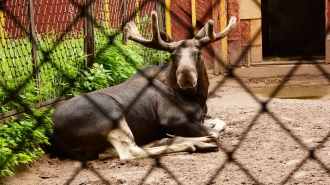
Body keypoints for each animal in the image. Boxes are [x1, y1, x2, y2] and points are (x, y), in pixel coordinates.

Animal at [49, 10, 237, 160]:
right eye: (173, 56)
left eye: (197, 53)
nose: (186, 78)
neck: (199, 98)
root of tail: (51, 136)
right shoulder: (173, 120)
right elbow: (215, 131)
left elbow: (221, 122)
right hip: (111, 114)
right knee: (129, 152)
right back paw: (192, 143)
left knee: (108, 152)